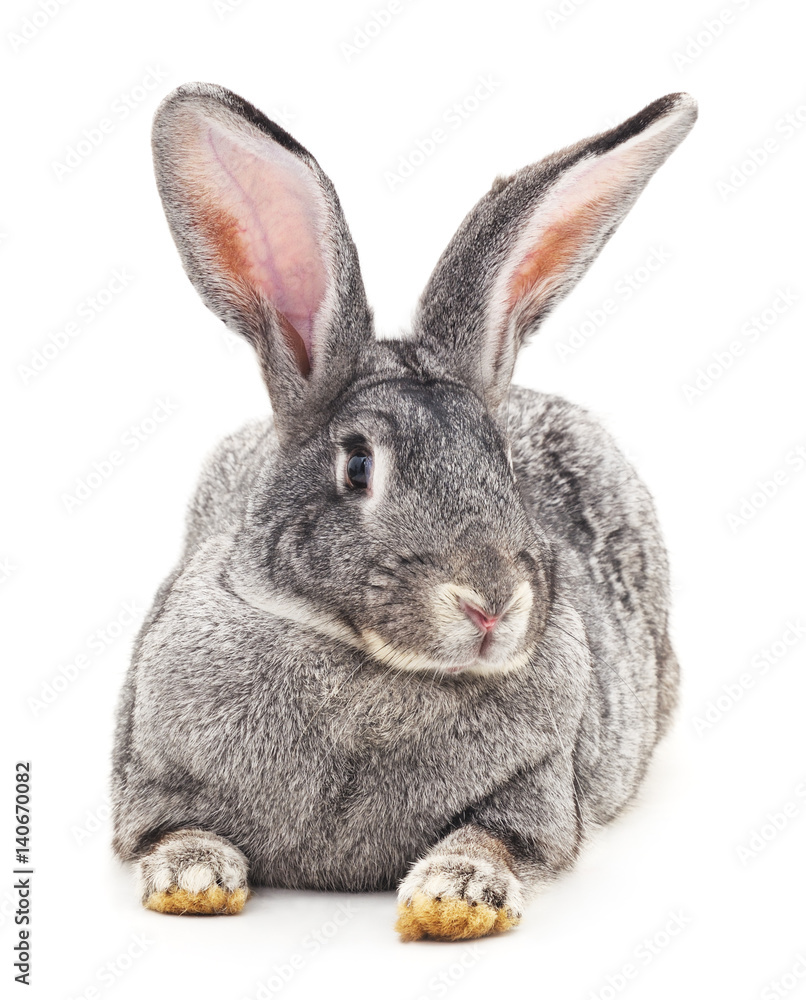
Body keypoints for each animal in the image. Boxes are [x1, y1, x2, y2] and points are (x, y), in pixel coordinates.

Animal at [111, 82, 696, 941]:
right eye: (358, 466)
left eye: (504, 467)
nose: (491, 606)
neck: (369, 664)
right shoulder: (149, 774)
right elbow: (171, 830)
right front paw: (193, 880)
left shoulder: (536, 795)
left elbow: (492, 836)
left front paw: (455, 900)